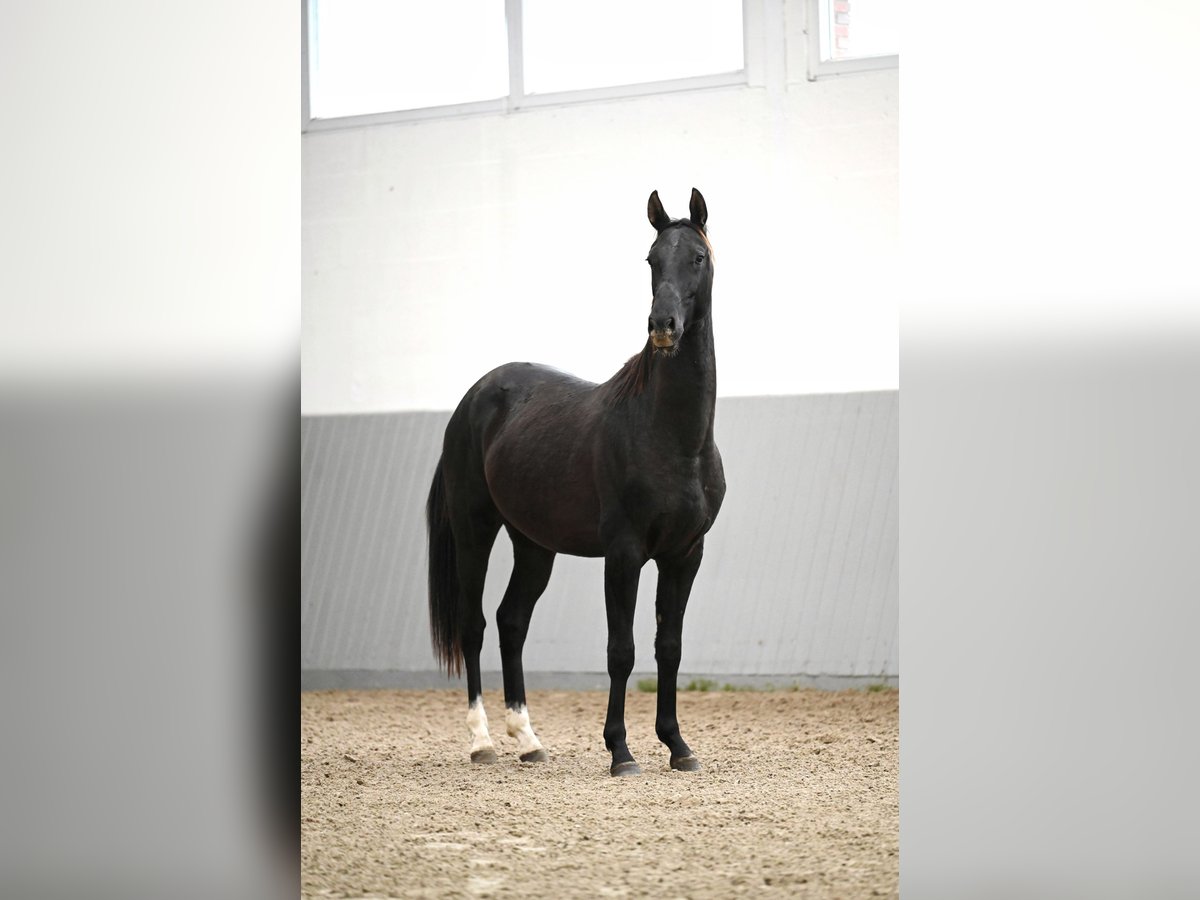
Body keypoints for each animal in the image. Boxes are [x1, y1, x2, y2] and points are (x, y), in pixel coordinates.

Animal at [424, 188, 720, 777]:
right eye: (650, 259)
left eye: (698, 257)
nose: (663, 326)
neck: (673, 437)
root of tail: (473, 398)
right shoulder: (624, 553)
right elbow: (621, 650)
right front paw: (621, 752)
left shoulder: (684, 554)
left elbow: (668, 647)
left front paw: (678, 747)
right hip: (475, 531)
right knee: (474, 625)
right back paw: (482, 741)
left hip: (534, 544)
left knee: (512, 621)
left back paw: (528, 740)